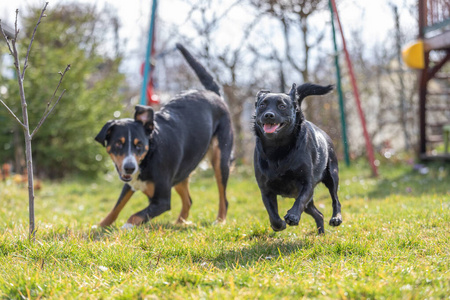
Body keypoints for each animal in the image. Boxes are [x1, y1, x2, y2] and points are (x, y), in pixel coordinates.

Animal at [96, 43, 234, 229]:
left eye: (139, 145)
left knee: (223, 198)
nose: (129, 167)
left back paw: (219, 221)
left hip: (220, 160)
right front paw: (100, 226)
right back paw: (180, 223)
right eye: (119, 143)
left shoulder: (161, 201)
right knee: (188, 200)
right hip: (182, 170)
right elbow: (116, 207)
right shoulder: (130, 184)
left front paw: (126, 227)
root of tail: (213, 94)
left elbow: (136, 215)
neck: (148, 157)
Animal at [253, 82, 342, 234]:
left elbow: (299, 201)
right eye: (262, 105)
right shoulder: (265, 190)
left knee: (335, 200)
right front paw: (279, 225)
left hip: (332, 176)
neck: (278, 149)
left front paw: (293, 216)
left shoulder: (307, 184)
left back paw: (336, 218)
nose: (268, 115)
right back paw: (321, 234)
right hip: (309, 202)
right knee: (319, 214)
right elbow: (273, 214)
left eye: (282, 106)